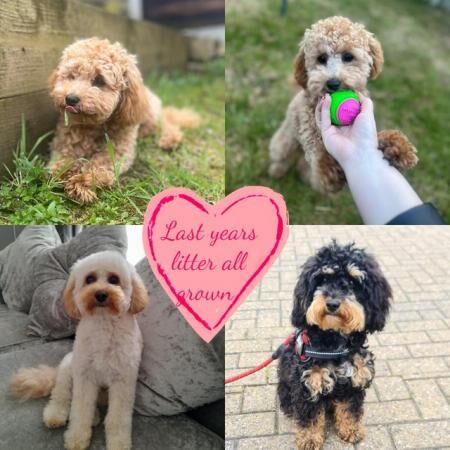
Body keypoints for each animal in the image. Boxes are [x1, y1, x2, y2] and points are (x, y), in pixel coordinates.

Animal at [10, 251, 149, 450]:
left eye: (114, 279)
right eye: (90, 279)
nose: (101, 294)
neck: (103, 322)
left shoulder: (123, 380)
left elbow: (117, 418)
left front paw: (118, 442)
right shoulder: (85, 377)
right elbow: (80, 410)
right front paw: (77, 438)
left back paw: (95, 417)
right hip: (68, 370)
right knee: (61, 396)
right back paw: (55, 414)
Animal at [48, 38, 200, 204]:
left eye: (99, 80)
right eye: (71, 75)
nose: (71, 99)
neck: (94, 126)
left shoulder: (119, 150)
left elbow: (100, 165)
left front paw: (81, 182)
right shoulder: (66, 141)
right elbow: (61, 159)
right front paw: (63, 172)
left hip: (150, 117)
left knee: (166, 122)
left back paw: (170, 139)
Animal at [268, 15, 418, 192]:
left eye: (348, 56)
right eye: (321, 58)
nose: (332, 83)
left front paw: (398, 147)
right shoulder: (313, 147)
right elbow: (323, 165)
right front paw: (330, 164)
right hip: (285, 141)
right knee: (283, 156)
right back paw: (277, 171)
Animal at [280, 241, 392, 448]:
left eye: (353, 283)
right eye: (322, 279)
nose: (332, 303)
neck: (334, 343)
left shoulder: (355, 380)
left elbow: (350, 410)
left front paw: (351, 430)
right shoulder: (309, 383)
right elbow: (309, 417)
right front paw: (309, 439)